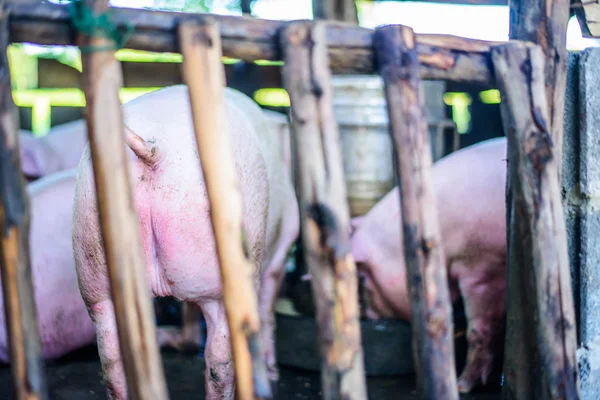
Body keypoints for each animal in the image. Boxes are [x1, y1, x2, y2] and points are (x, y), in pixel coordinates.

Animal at [72, 85, 300, 400]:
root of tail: (155, 151)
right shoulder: (286, 237)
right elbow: (268, 307)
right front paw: (272, 372)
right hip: (219, 276)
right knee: (219, 359)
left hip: (92, 261)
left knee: (112, 357)